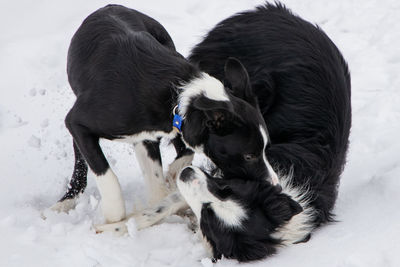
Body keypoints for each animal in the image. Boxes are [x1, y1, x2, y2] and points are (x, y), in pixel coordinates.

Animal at [104, 2, 352, 264]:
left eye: (209, 216)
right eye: (226, 190)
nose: (188, 175)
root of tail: (273, 10)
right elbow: (163, 206)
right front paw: (112, 228)